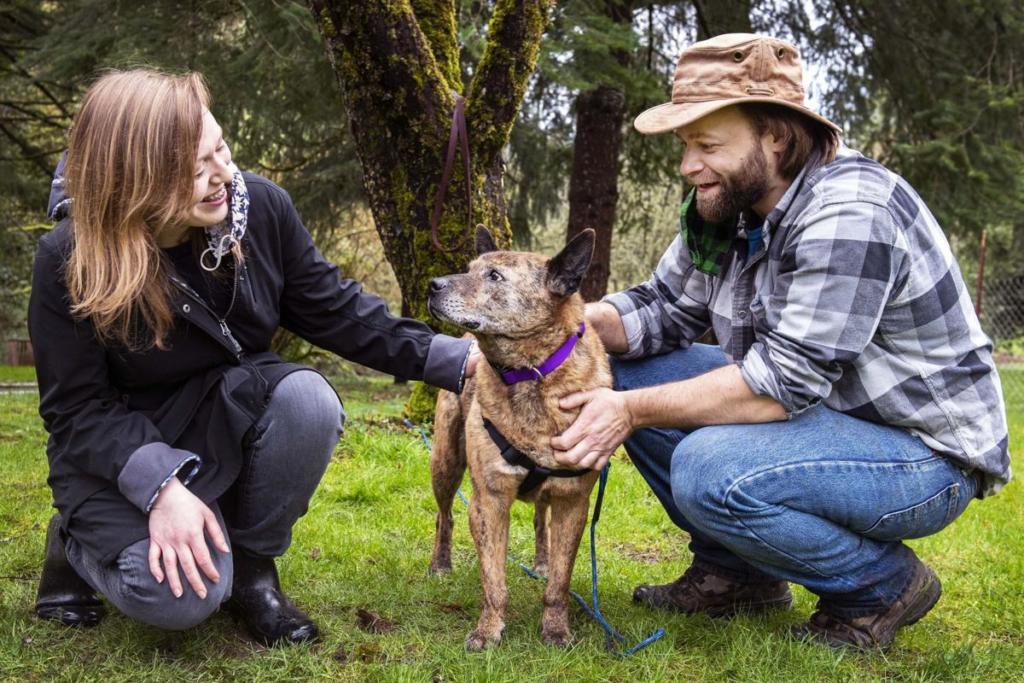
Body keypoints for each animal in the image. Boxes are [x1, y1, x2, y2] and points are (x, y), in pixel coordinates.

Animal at [423, 225, 606, 651]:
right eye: (469, 268)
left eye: (494, 276)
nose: (432, 285)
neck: (530, 373)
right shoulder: (489, 499)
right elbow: (494, 580)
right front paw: (488, 630)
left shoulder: (573, 502)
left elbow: (559, 583)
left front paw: (556, 629)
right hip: (445, 462)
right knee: (444, 516)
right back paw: (440, 564)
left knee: (541, 521)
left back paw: (541, 560)